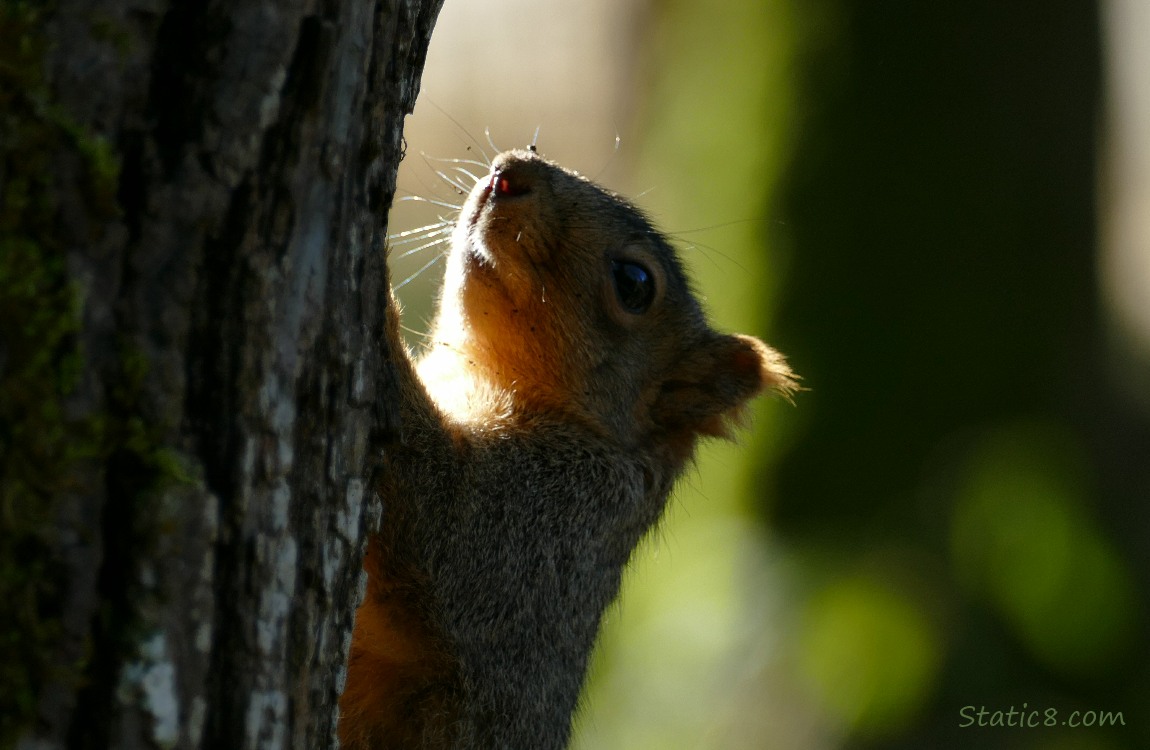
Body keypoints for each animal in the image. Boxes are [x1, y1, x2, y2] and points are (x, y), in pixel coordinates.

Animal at [335, 148, 795, 750]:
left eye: (634, 282)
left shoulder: (549, 522)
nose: (509, 171)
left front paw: (379, 290)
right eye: (532, 152)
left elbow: (444, 520)